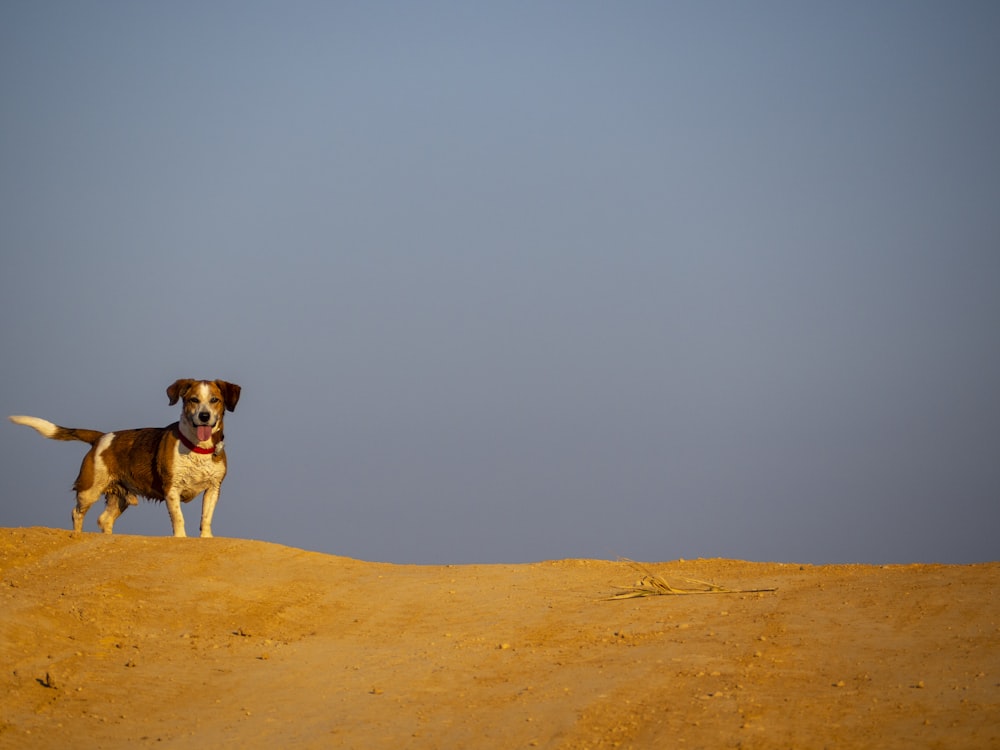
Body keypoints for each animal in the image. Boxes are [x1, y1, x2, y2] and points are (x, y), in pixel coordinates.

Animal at [8, 378, 241, 536]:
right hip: (89, 490)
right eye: (193, 400)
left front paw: (206, 538)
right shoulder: (171, 489)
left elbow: (206, 519)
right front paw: (181, 538)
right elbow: (179, 519)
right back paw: (77, 535)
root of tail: (101, 437)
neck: (197, 448)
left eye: (215, 400)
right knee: (77, 513)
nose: (204, 416)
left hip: (119, 497)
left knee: (104, 520)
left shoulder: (213, 489)